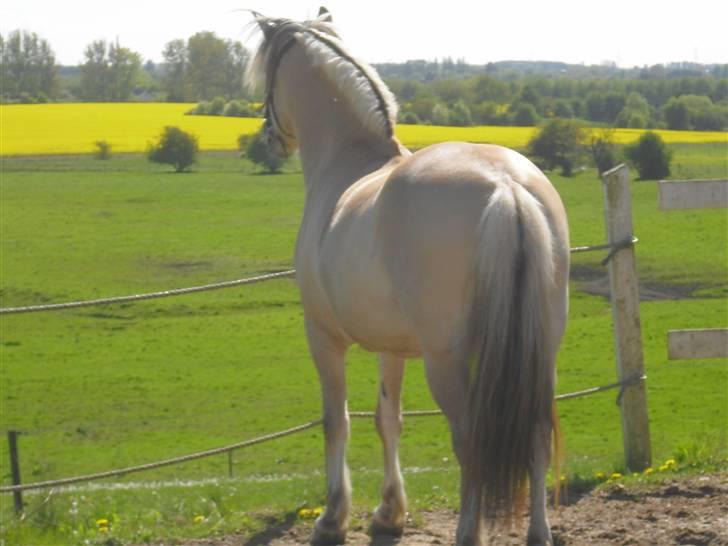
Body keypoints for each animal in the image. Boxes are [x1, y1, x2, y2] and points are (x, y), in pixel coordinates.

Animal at [247, 9, 572, 544]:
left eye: (269, 73)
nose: (268, 137)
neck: (348, 162)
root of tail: (505, 187)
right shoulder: (392, 347)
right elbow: (388, 419)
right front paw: (389, 513)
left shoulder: (323, 336)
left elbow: (336, 421)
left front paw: (333, 517)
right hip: (540, 351)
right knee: (537, 433)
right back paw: (538, 533)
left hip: (446, 361)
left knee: (469, 439)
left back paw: (468, 532)